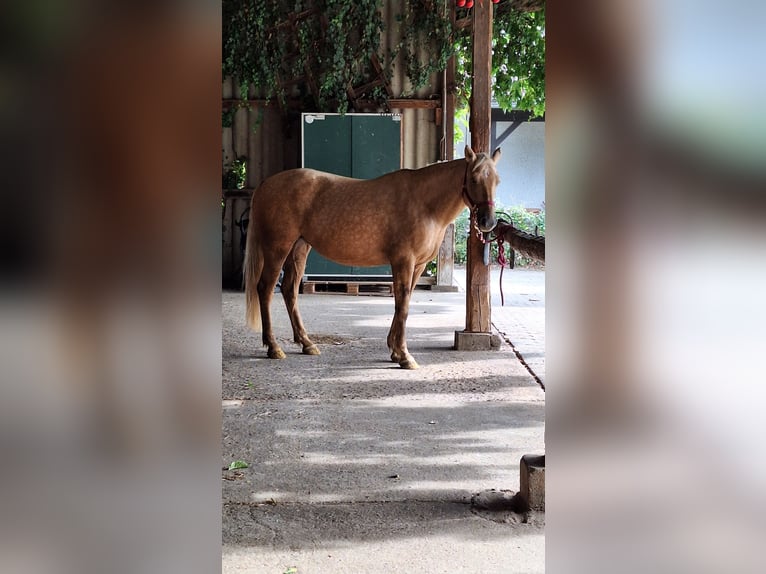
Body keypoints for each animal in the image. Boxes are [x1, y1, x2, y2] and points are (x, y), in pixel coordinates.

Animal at [244, 145, 502, 369]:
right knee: (265, 289)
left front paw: (394, 350)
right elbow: (403, 304)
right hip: (277, 248)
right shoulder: (404, 261)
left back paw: (307, 343)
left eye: (497, 181)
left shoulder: (418, 265)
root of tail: (267, 183)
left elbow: (403, 302)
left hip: (299, 247)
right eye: (474, 178)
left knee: (289, 290)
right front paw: (405, 356)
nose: (488, 222)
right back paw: (274, 347)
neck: (425, 204)